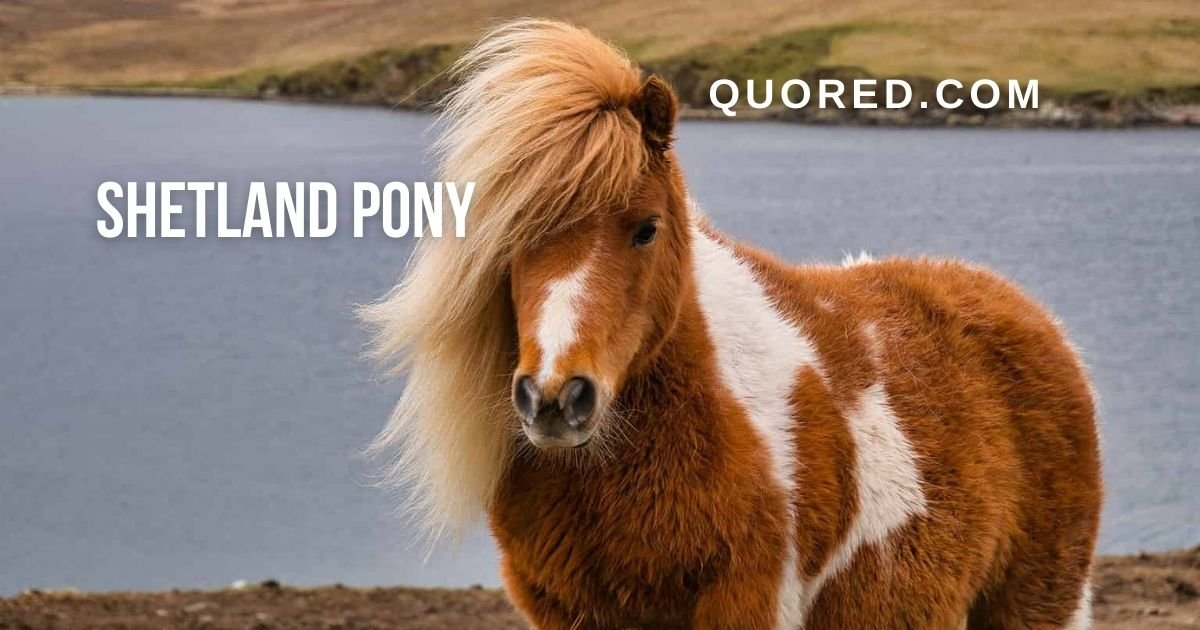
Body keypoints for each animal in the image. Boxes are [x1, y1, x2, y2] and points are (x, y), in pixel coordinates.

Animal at [361, 19, 1103, 630]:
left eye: (646, 228)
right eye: (509, 235)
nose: (554, 399)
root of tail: (1026, 314)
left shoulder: (745, 602)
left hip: (1039, 606)